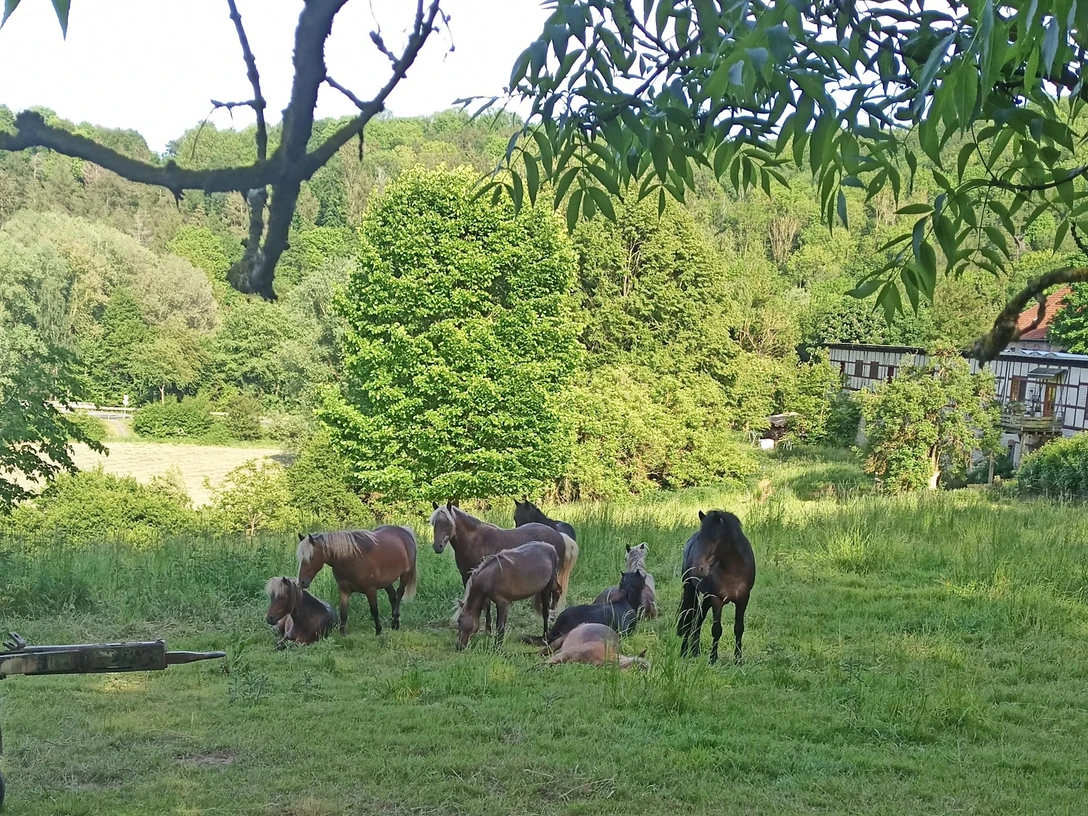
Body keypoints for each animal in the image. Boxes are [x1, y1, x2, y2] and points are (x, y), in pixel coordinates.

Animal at [430, 501, 578, 631]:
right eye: (434, 523)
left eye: (448, 523)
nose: (437, 547)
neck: (476, 541)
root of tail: (559, 535)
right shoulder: (466, 576)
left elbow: (486, 604)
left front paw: (488, 630)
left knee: (557, 591)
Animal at [677, 510, 756, 663]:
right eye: (700, 539)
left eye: (714, 539)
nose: (698, 569)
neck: (733, 570)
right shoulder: (717, 599)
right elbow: (716, 630)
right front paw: (713, 659)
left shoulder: (743, 599)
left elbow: (739, 628)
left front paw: (738, 660)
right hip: (691, 590)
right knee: (688, 618)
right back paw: (684, 652)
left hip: (706, 596)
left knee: (698, 618)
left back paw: (695, 651)